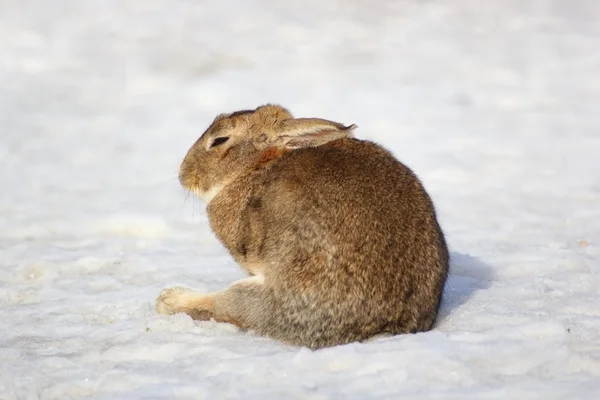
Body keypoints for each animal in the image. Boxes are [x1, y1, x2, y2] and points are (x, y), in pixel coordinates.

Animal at [157, 104, 448, 350]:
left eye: (219, 140)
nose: (184, 175)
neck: (256, 166)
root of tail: (380, 328)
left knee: (227, 306)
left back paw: (168, 299)